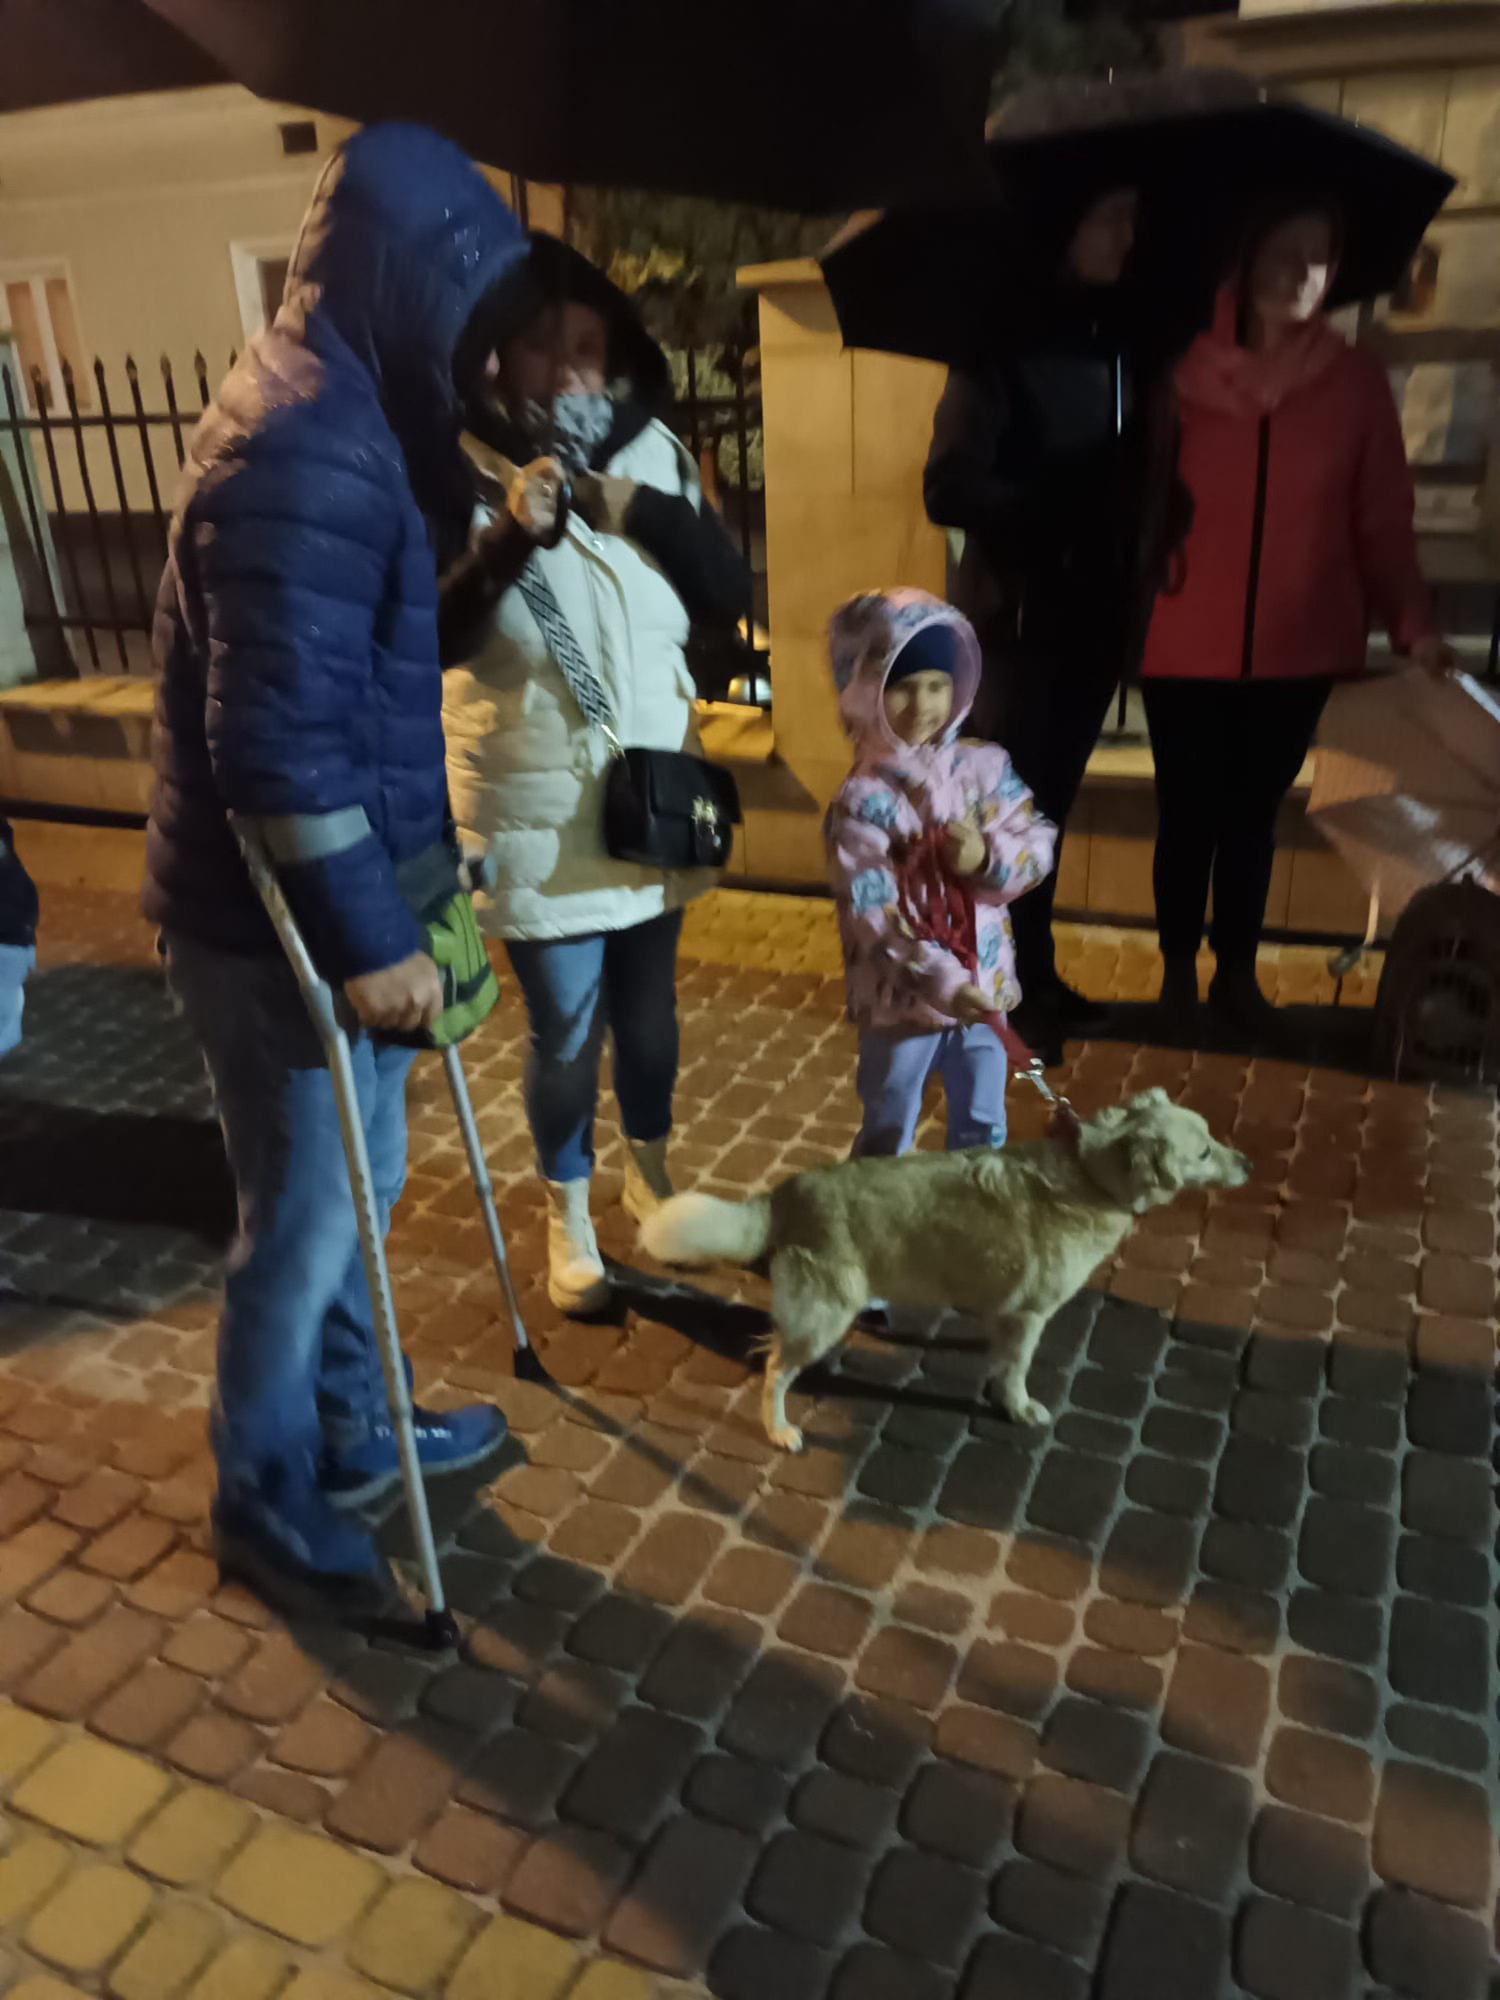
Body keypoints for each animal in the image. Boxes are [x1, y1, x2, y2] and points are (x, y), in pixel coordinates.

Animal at [640, 1088, 1249, 1451]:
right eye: (1202, 1153)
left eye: (1213, 1137)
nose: (1247, 1163)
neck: (1090, 1175)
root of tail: (785, 1192)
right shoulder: (1030, 1314)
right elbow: (1017, 1370)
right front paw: (1017, 1406)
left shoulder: (1008, 1313)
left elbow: (1001, 1358)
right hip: (824, 1315)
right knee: (773, 1370)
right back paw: (778, 1429)